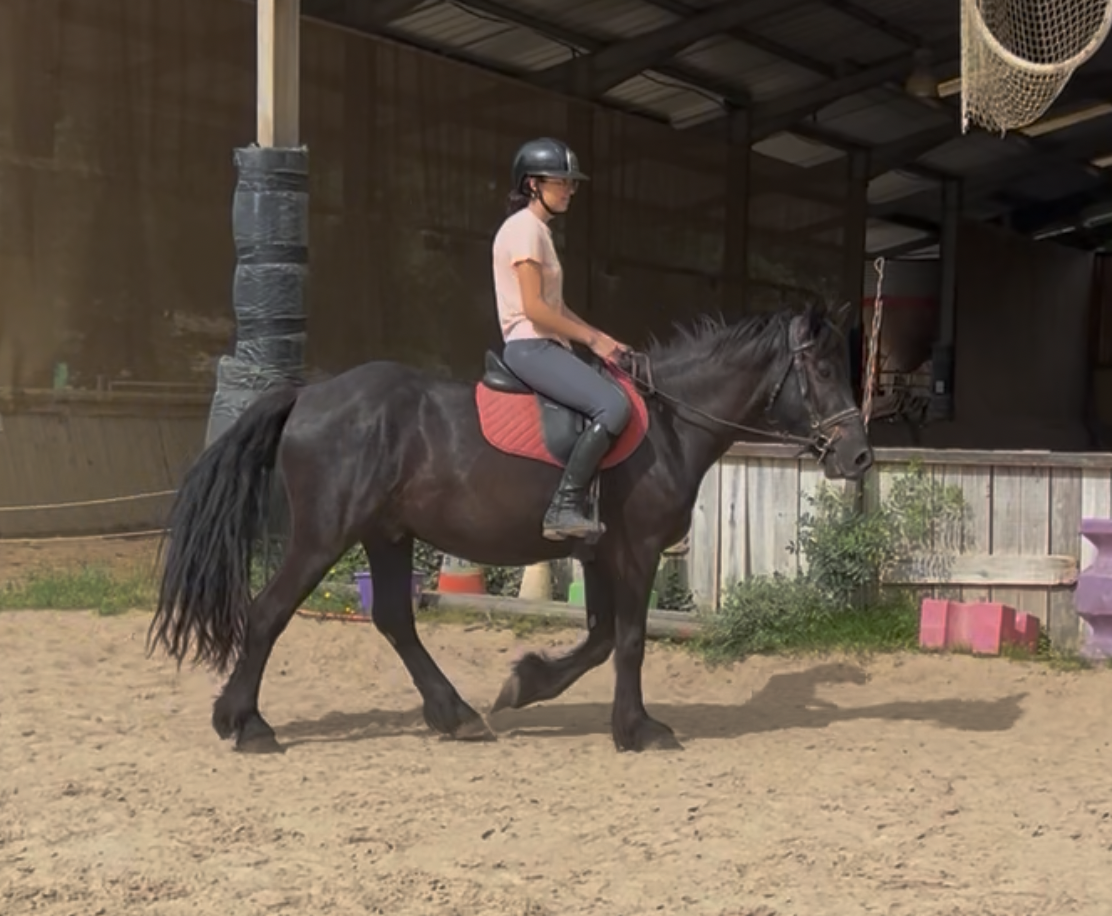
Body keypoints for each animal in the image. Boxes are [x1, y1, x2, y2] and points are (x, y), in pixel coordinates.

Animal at [147, 299, 874, 753]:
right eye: (821, 369)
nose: (859, 457)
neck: (668, 423)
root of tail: (307, 394)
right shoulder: (636, 551)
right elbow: (630, 641)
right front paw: (637, 730)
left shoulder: (598, 553)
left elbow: (601, 640)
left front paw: (525, 686)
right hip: (325, 534)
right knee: (269, 612)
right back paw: (246, 725)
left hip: (387, 533)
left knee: (394, 620)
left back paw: (456, 716)